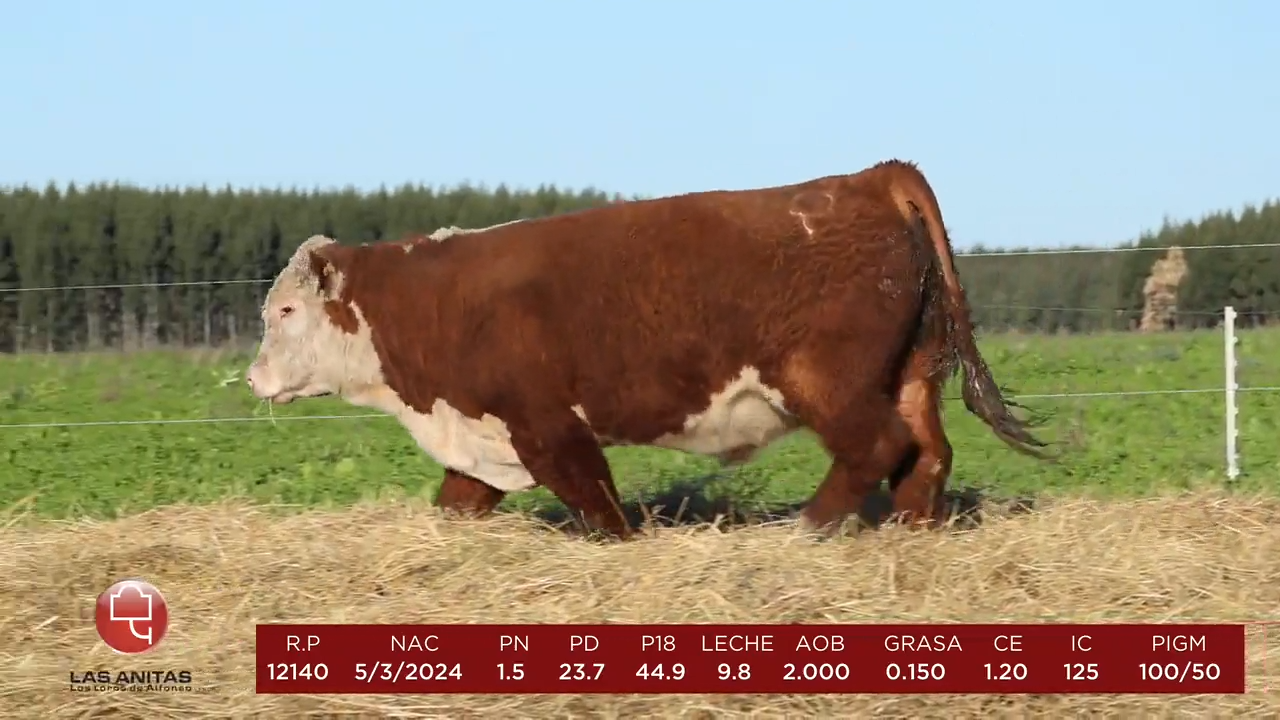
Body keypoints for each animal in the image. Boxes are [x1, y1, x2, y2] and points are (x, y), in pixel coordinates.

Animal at [245, 159, 1049, 540]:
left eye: (283, 309)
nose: (252, 377)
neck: (432, 302)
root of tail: (871, 177)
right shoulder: (481, 439)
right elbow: (458, 501)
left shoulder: (549, 427)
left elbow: (600, 509)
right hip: (912, 375)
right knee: (926, 455)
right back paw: (912, 533)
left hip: (828, 381)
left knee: (876, 447)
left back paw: (807, 529)